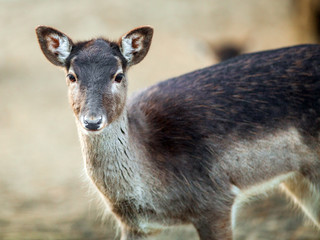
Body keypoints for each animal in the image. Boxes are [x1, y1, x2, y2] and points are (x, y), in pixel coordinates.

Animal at [35, 25, 320, 239]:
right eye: (72, 76)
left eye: (118, 75)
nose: (92, 121)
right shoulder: (133, 225)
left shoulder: (215, 200)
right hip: (297, 179)